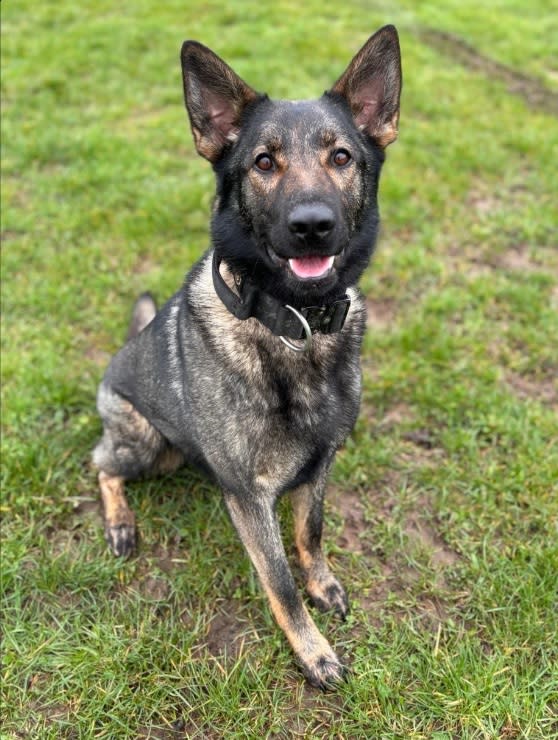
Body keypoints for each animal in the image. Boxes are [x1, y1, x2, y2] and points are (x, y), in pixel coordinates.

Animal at [93, 27, 402, 688]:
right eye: (264, 162)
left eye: (342, 157)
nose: (312, 225)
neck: (294, 326)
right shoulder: (249, 497)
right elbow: (279, 582)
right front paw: (313, 652)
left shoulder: (320, 463)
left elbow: (310, 532)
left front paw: (323, 583)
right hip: (147, 444)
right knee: (101, 463)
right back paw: (121, 523)